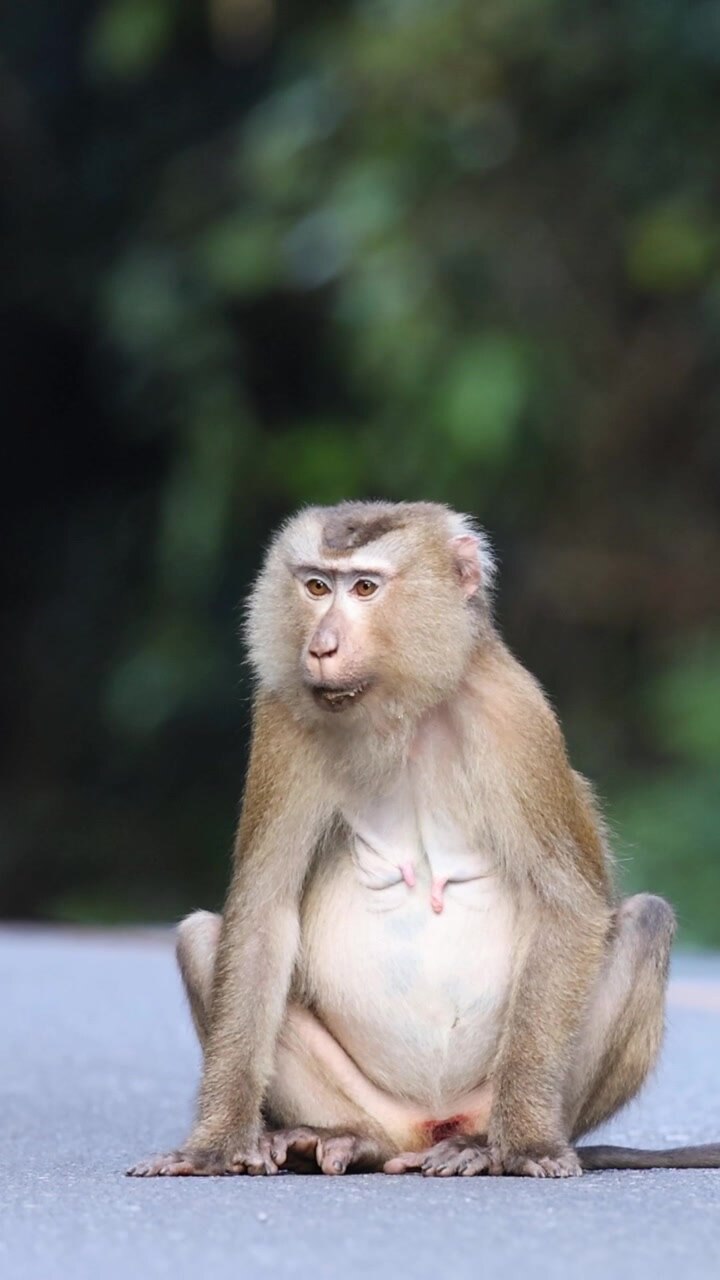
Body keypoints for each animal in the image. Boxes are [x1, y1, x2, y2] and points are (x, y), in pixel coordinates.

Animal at [128, 501, 720, 1178]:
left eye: (365, 588)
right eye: (316, 586)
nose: (321, 646)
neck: (402, 716)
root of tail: (425, 1127)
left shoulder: (514, 717)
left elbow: (567, 905)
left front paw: (529, 1145)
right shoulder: (281, 719)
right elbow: (261, 914)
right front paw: (214, 1145)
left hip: (500, 1098)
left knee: (647, 919)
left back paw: (482, 1146)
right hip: (374, 1107)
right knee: (204, 938)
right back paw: (338, 1139)